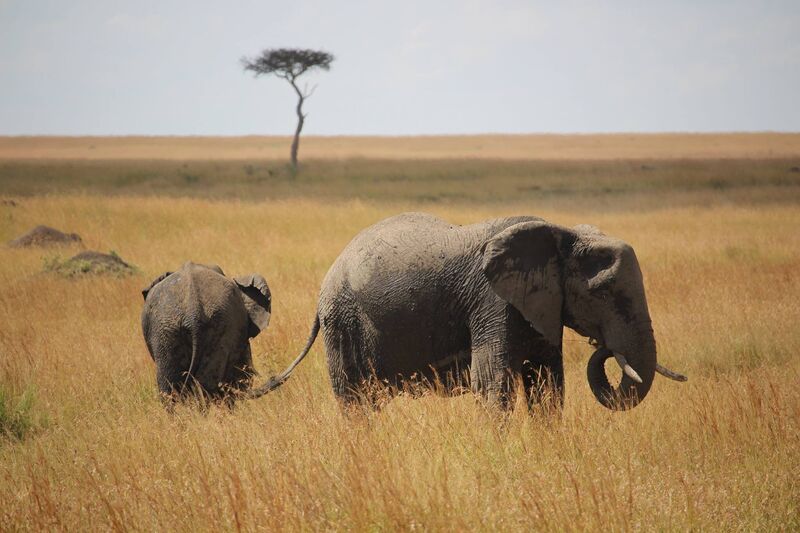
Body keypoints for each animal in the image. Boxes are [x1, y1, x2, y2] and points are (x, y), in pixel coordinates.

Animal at [250, 212, 685, 411]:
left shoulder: (539, 304)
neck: (560, 232)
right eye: (605, 293)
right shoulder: (493, 302)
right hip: (342, 321)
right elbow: (492, 382)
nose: (605, 346)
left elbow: (548, 383)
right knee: (355, 398)